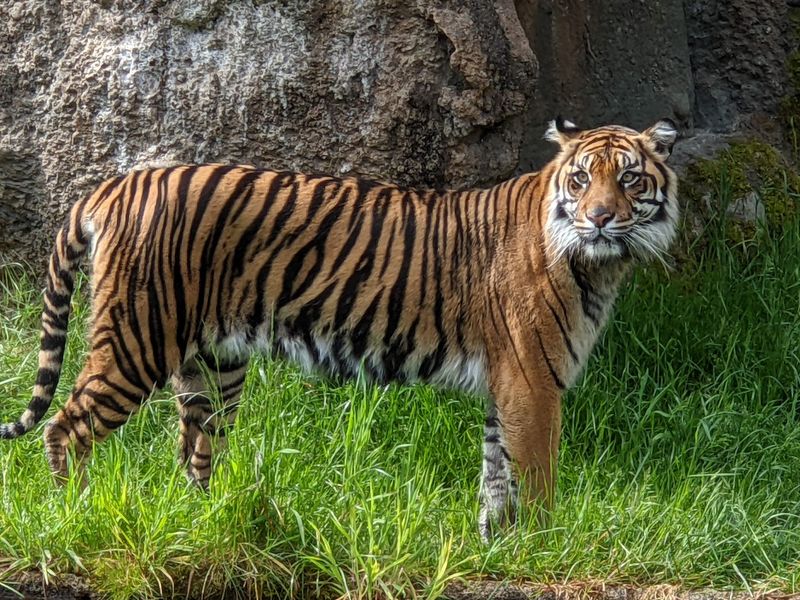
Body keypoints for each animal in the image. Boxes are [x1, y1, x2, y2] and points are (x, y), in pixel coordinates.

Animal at [0, 118, 678, 540]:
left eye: (630, 177)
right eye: (581, 178)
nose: (599, 219)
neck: (601, 266)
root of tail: (118, 183)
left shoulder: (506, 386)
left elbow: (495, 475)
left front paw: (493, 545)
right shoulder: (532, 383)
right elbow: (536, 477)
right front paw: (541, 544)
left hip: (212, 366)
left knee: (193, 450)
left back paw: (203, 521)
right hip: (137, 339)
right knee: (66, 428)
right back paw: (77, 515)